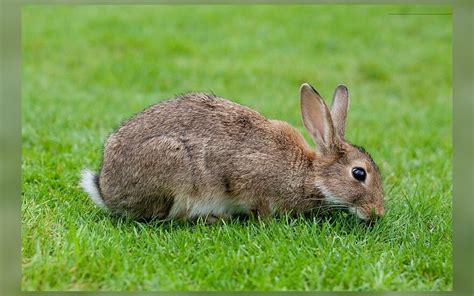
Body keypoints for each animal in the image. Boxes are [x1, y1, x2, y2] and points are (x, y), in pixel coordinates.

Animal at [80, 83, 386, 222]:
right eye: (359, 173)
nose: (378, 213)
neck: (310, 174)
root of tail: (106, 190)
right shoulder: (251, 180)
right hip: (173, 167)